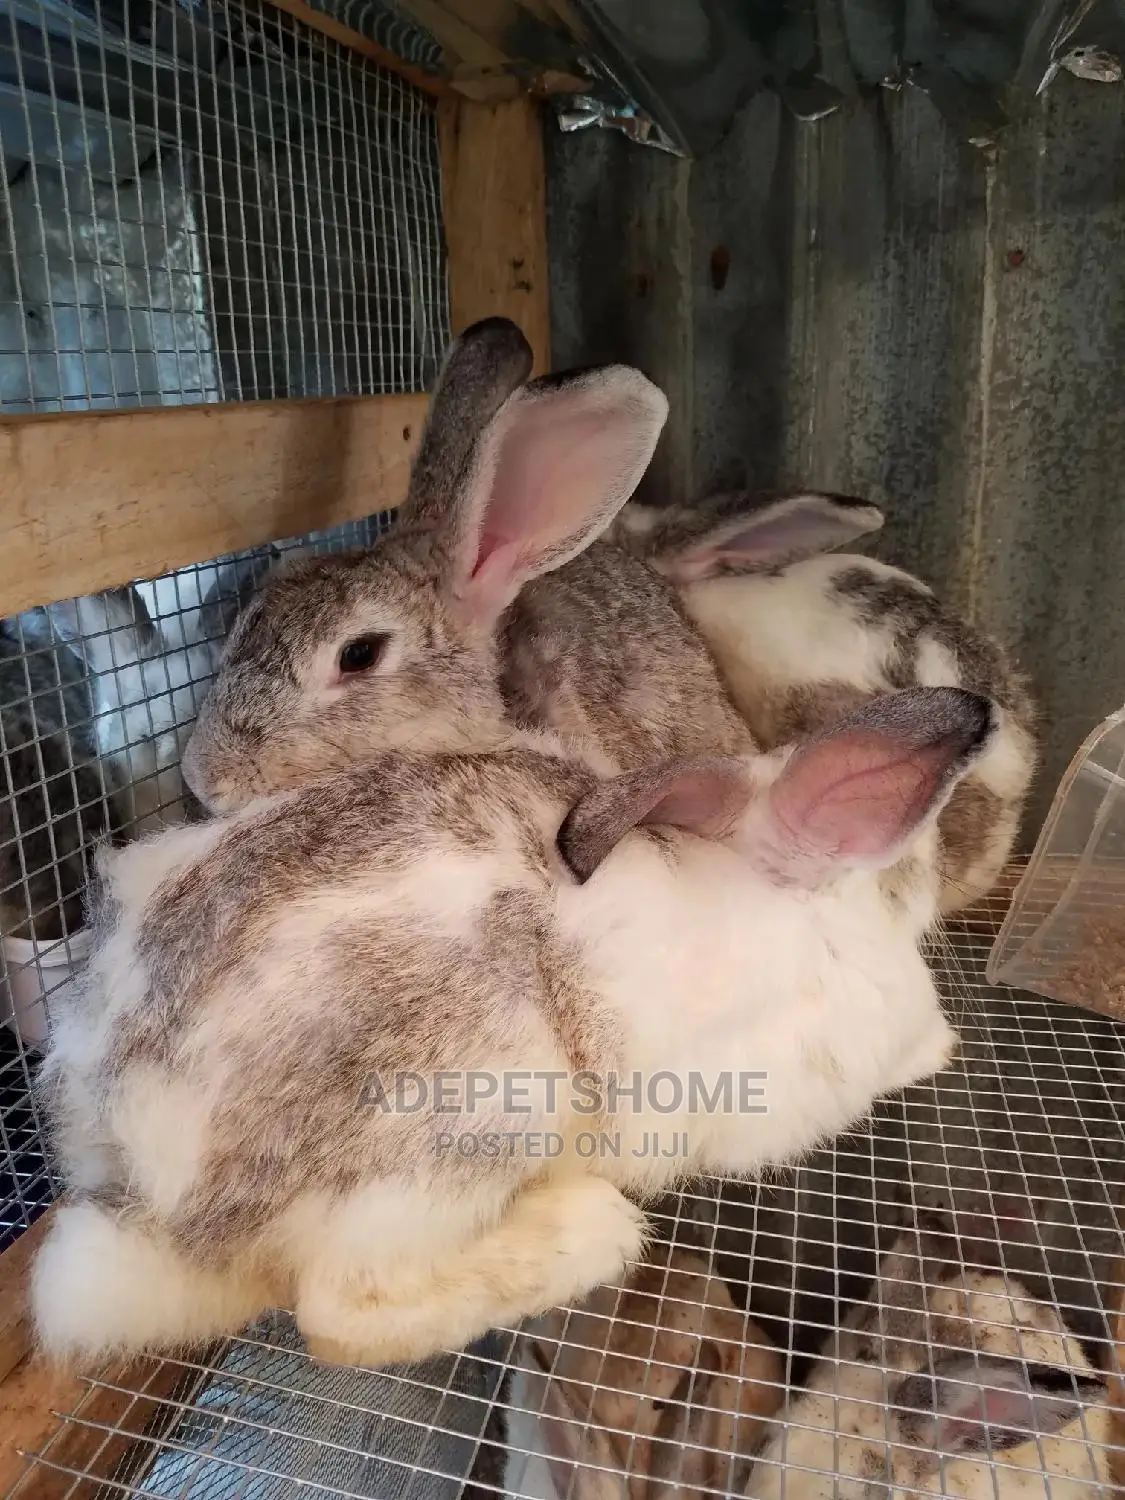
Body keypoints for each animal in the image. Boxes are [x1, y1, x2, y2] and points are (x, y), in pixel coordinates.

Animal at [33, 680, 994, 1370]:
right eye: (900, 879)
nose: (937, 868)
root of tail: (144, 1182)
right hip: (481, 1108)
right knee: (340, 1312)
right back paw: (588, 1230)